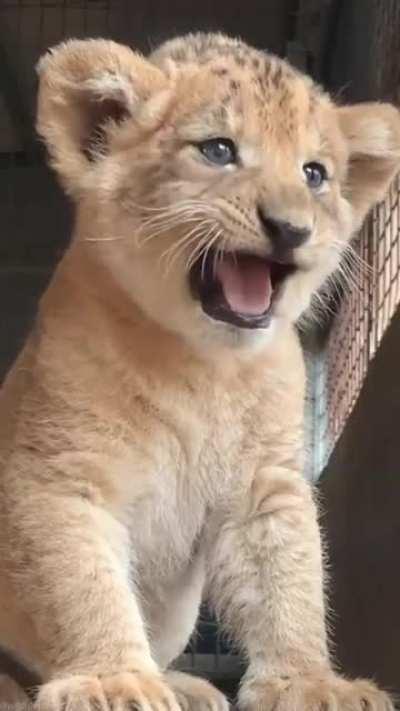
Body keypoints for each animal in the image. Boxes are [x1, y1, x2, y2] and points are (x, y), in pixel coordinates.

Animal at [0, 32, 399, 711]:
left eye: (314, 174)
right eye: (218, 150)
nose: (291, 229)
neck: (203, 365)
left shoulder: (266, 482)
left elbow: (288, 583)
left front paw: (310, 683)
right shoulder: (62, 473)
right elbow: (83, 583)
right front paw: (112, 682)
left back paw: (186, 685)